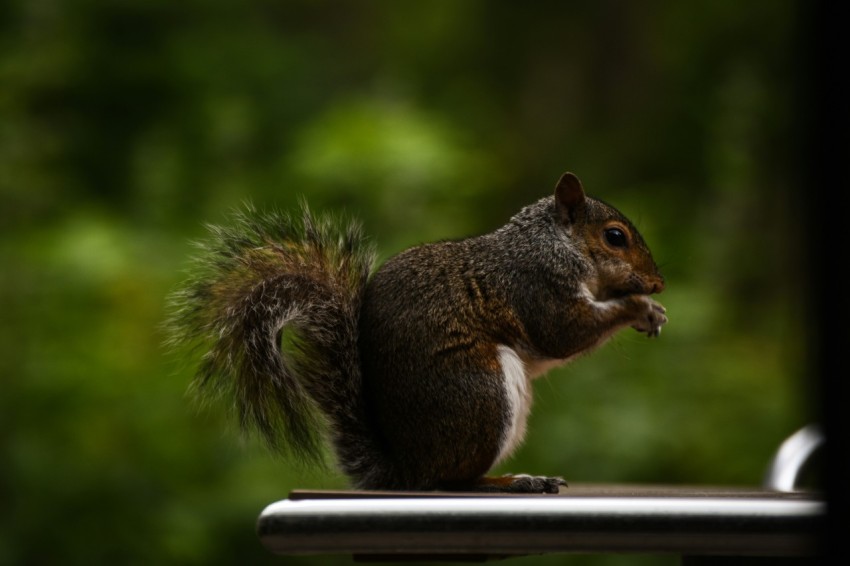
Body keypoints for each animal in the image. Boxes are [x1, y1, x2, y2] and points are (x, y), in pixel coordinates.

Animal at [169, 172, 664, 492]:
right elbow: (564, 332)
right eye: (615, 237)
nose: (657, 283)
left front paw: (652, 312)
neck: (553, 244)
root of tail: (408, 467)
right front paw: (638, 307)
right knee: (454, 480)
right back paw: (512, 480)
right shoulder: (536, 285)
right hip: (483, 393)